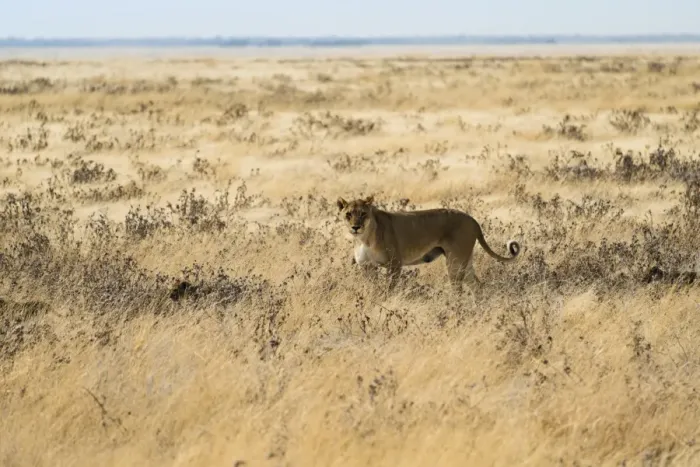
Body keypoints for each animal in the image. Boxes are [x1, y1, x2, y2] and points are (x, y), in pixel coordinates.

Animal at [337, 195, 521, 296]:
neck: (364, 238)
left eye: (363, 214)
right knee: (477, 285)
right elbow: (373, 289)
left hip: (455, 262)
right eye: (348, 214)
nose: (355, 227)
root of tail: (473, 220)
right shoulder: (366, 267)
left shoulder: (394, 264)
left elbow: (388, 290)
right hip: (464, 261)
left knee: (459, 291)